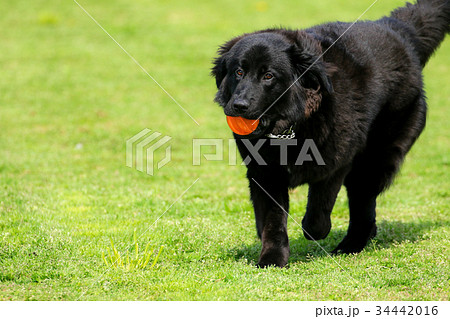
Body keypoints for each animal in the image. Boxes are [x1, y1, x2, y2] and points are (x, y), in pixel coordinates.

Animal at [212, 0, 450, 268]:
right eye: (239, 72)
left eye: (268, 76)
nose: (239, 105)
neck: (290, 129)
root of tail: (398, 29)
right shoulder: (265, 175)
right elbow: (273, 223)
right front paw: (272, 258)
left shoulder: (335, 165)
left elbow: (318, 213)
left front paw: (313, 231)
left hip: (375, 159)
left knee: (362, 203)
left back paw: (351, 245)